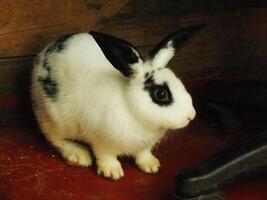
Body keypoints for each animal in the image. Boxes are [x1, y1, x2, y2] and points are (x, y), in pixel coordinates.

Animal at [30, 23, 204, 180]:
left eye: (178, 82)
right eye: (161, 94)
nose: (191, 115)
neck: (132, 110)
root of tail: (42, 55)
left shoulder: (144, 146)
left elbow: (143, 155)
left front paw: (152, 166)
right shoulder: (100, 141)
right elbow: (105, 156)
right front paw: (112, 172)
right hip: (55, 120)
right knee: (54, 138)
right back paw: (79, 155)